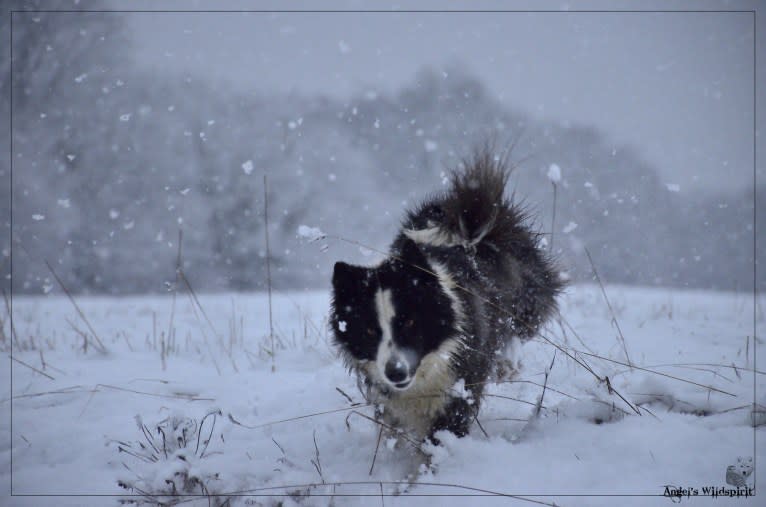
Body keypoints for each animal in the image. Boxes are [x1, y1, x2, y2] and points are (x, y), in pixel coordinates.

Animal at [332, 149, 564, 442]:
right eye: (371, 330)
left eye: (410, 322)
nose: (395, 372)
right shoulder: (390, 401)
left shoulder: (460, 385)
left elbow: (443, 432)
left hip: (527, 299)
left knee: (518, 330)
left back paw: (507, 364)